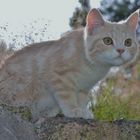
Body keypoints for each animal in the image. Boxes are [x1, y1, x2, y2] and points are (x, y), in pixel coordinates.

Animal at [0, 8, 139, 118]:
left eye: (128, 42)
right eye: (107, 40)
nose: (120, 50)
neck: (93, 66)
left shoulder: (84, 87)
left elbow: (82, 100)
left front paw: (83, 111)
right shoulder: (60, 76)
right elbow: (67, 96)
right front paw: (73, 110)